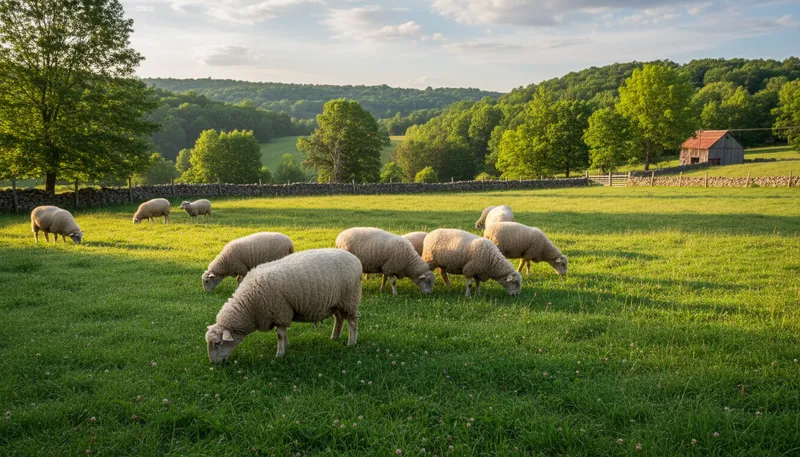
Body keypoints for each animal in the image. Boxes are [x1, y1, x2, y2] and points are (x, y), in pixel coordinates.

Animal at [205, 248, 361, 361]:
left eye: (218, 343)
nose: (214, 364)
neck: (249, 305)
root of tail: (356, 259)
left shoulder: (281, 311)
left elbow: (280, 335)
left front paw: (280, 354)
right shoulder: (280, 314)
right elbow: (283, 333)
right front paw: (287, 346)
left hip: (349, 299)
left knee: (352, 322)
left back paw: (351, 342)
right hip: (336, 302)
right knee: (339, 319)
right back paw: (335, 337)